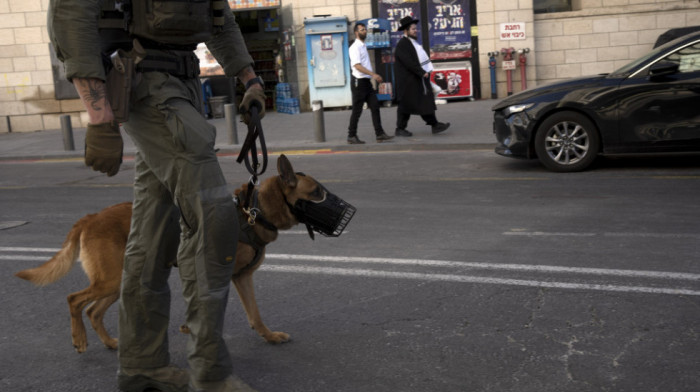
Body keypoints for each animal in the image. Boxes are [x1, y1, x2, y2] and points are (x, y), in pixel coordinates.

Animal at [15, 155, 346, 354]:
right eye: (317, 192)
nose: (347, 215)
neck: (253, 211)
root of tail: (90, 217)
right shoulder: (218, 277)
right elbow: (212, 310)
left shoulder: (241, 278)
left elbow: (255, 314)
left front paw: (269, 336)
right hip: (110, 280)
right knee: (74, 300)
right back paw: (80, 339)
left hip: (119, 282)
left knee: (93, 311)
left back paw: (110, 343)